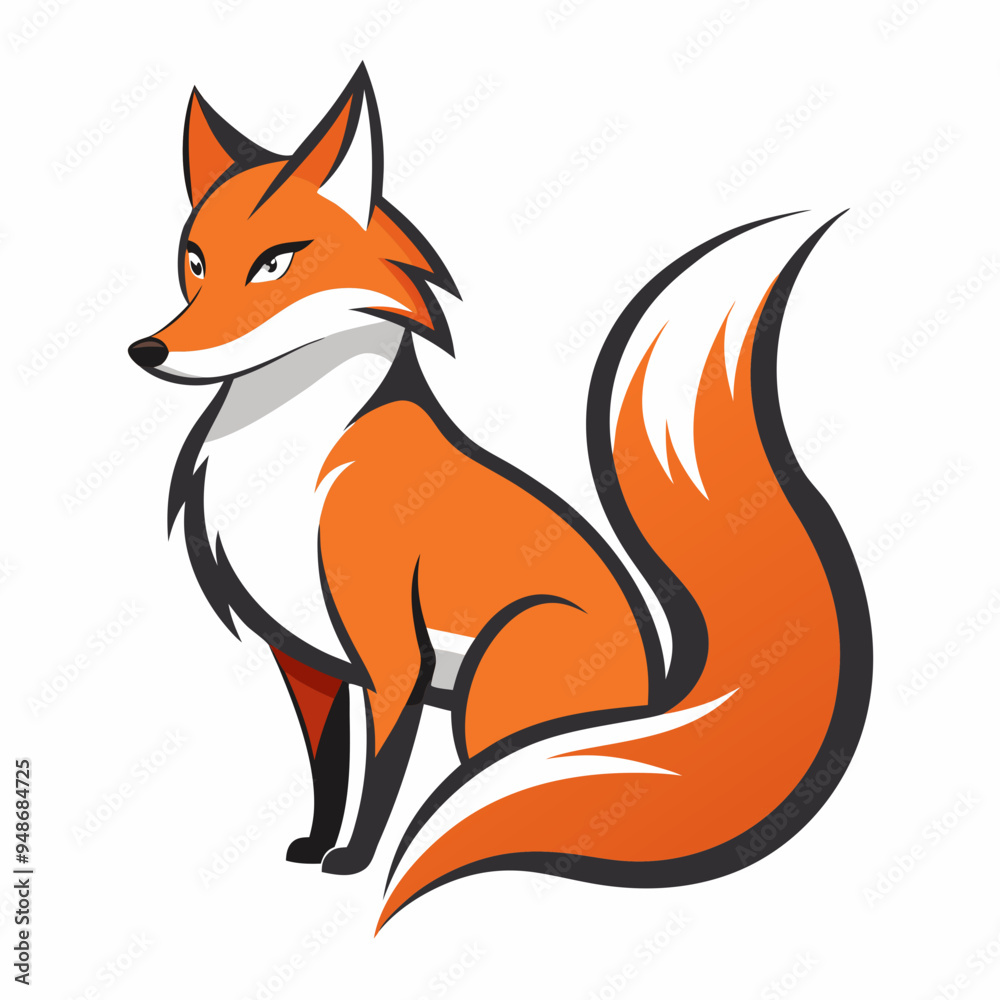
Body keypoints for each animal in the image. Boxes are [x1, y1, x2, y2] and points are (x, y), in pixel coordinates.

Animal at [129, 64, 871, 930]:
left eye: (276, 264)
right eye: (194, 261)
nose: (149, 351)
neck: (282, 457)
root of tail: (660, 705)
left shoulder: (392, 657)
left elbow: (378, 778)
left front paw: (353, 861)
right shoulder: (307, 661)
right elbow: (326, 774)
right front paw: (314, 847)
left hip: (495, 667)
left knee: (519, 791)